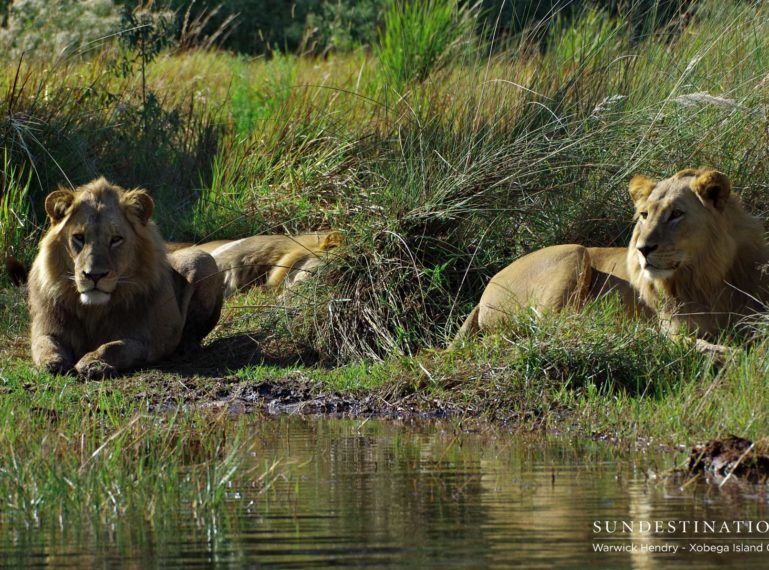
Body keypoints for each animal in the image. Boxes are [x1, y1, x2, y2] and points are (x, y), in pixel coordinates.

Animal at [28, 178, 224, 378]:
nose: (94, 275)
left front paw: (93, 362)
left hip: (203, 259)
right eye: (79, 237)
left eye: (116, 239)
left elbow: (113, 347)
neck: (93, 311)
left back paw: (186, 347)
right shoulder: (46, 327)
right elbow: (45, 344)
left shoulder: (145, 340)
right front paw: (52, 362)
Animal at [456, 166, 768, 348]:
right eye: (644, 215)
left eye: (676, 214)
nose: (643, 249)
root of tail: (486, 289)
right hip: (574, 253)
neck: (707, 275)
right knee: (553, 328)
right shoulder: (673, 330)